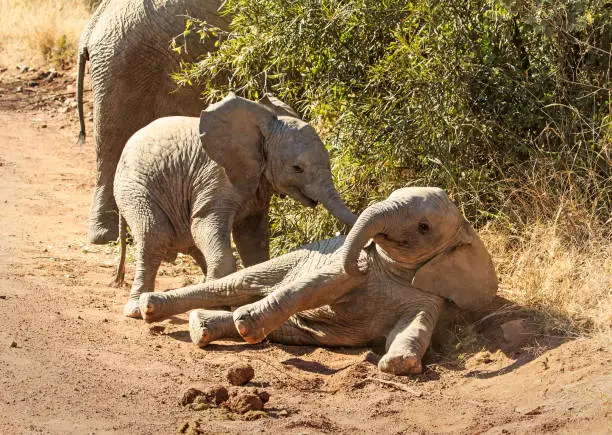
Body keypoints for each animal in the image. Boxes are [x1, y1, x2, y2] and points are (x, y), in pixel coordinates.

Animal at [113, 93, 358, 318]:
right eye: (297, 168)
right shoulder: (216, 178)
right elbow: (204, 225)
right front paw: (216, 309)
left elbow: (252, 238)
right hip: (134, 188)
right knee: (155, 236)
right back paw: (136, 310)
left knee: (189, 243)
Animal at [137, 186, 498, 376]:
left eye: (424, 227)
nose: (362, 256)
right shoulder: (343, 269)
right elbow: (316, 286)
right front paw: (246, 321)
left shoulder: (431, 295)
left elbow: (413, 327)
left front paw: (397, 364)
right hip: (293, 257)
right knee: (235, 284)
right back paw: (150, 307)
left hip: (304, 330)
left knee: (289, 328)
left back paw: (201, 327)